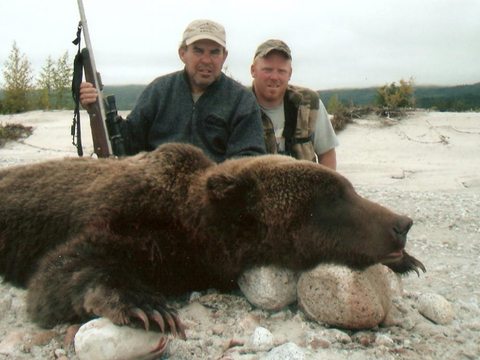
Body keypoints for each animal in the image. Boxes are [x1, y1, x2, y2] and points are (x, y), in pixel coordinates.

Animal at [0, 142, 424, 338]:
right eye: (333, 197)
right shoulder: (132, 223)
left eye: (350, 188)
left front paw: (407, 260)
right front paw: (144, 305)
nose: (401, 224)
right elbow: (57, 275)